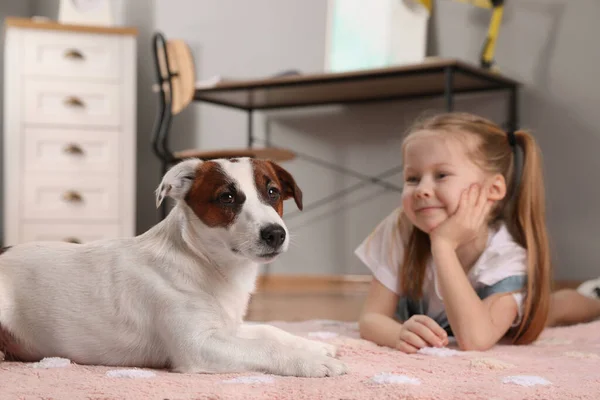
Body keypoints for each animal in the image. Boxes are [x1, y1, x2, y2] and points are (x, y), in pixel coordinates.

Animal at [0, 158, 346, 376]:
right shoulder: (199, 346)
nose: (275, 234)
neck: (203, 263)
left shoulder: (228, 327)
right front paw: (309, 361)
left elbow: (269, 331)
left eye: (272, 192)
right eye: (227, 197)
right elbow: (265, 347)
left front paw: (315, 346)